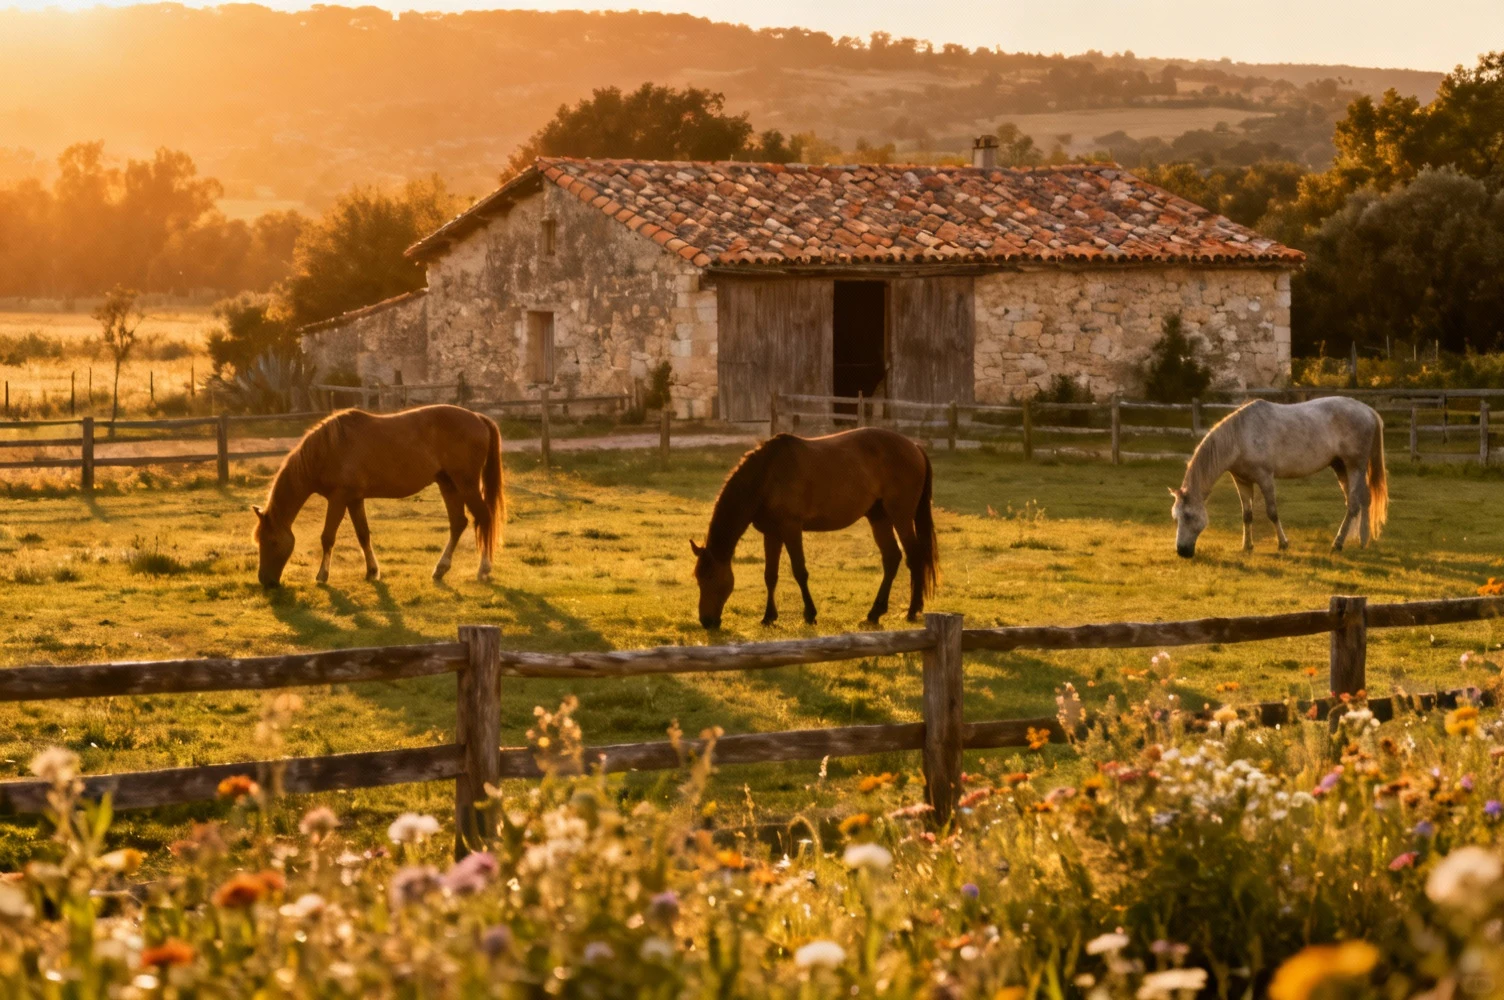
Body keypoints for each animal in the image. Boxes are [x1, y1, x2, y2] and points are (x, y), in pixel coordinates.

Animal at [252, 405, 503, 587]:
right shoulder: (354, 499)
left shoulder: (338, 498)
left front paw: (322, 575)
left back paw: (483, 570)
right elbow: (363, 535)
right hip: (448, 484)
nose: (265, 581)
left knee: (484, 517)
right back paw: (440, 569)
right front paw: (372, 572)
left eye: (272, 541)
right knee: (458, 523)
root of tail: (478, 418)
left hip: (466, 484)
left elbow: (327, 537)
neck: (329, 449)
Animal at [690, 428, 938, 630]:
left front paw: (810, 615)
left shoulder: (791, 528)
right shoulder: (771, 533)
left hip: (901, 516)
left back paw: (911, 611)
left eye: (710, 576)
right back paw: (874, 613)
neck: (768, 474)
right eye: (697, 578)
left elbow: (800, 571)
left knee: (914, 557)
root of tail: (915, 447)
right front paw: (768, 617)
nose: (707, 622)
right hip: (879, 517)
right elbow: (770, 575)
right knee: (892, 558)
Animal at [1169, 396, 1387, 558]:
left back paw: (1338, 544)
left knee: (1354, 505)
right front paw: (1247, 546)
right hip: (1341, 467)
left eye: (1188, 515)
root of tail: (1369, 411)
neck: (1240, 437)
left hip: (1354, 467)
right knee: (1363, 500)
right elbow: (1247, 515)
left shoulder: (1265, 477)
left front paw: (1283, 544)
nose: (1182, 551)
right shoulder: (1242, 481)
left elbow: (1272, 512)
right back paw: (1362, 541)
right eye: (1176, 517)